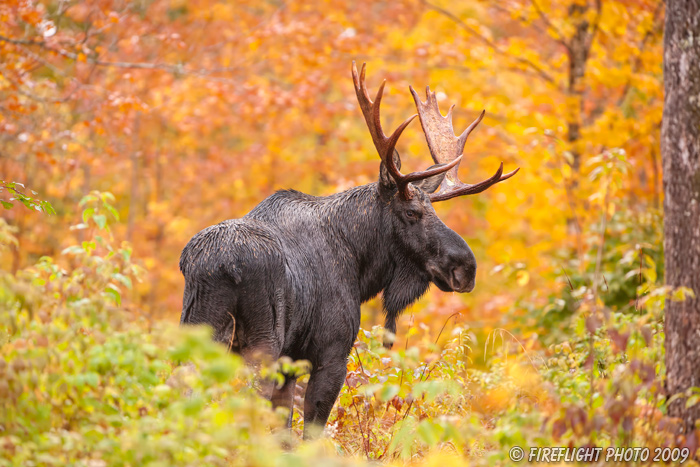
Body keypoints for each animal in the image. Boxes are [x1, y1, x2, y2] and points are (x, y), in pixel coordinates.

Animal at [179, 62, 520, 438]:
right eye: (412, 212)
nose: (466, 268)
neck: (360, 266)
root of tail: (221, 266)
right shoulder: (330, 352)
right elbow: (309, 432)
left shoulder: (291, 361)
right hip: (261, 343)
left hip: (200, 330)